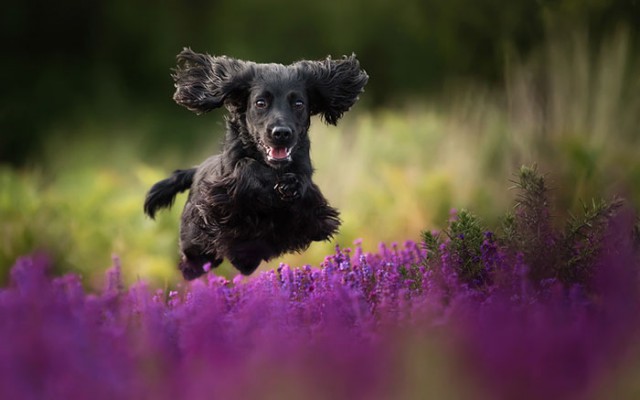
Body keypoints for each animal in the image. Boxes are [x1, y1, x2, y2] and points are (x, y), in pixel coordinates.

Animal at [143, 48, 368, 280]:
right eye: (261, 103)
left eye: (298, 104)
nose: (281, 133)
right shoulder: (221, 196)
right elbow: (246, 165)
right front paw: (274, 183)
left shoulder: (311, 208)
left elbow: (304, 184)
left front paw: (291, 184)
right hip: (196, 242)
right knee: (194, 261)